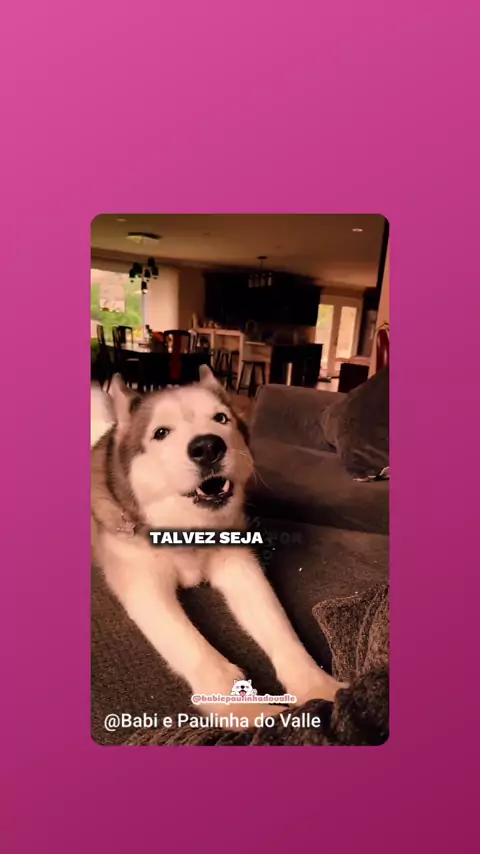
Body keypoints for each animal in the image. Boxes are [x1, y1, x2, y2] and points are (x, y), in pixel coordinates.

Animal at [91, 367, 344, 728]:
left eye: (220, 418)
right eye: (161, 432)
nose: (208, 446)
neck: (188, 531)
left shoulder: (239, 566)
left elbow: (279, 628)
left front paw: (317, 686)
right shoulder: (143, 584)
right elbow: (196, 650)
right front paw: (246, 711)